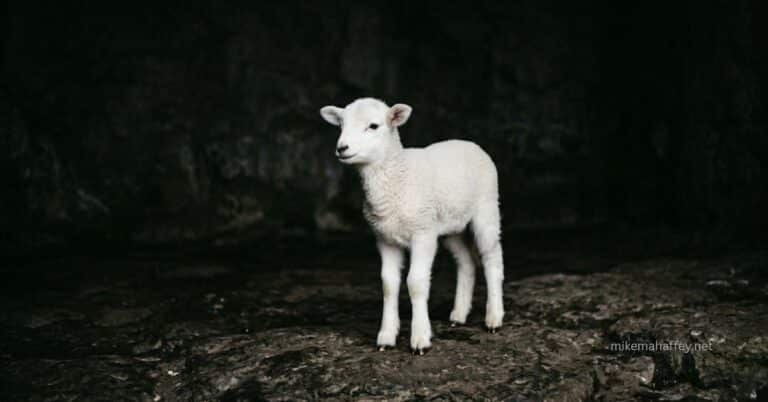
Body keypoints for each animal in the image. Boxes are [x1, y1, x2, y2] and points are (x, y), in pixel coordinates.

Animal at [320, 98, 505, 354]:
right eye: (341, 125)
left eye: (374, 126)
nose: (342, 148)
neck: (397, 176)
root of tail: (470, 144)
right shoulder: (385, 238)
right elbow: (388, 284)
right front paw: (386, 336)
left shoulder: (422, 233)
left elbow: (415, 283)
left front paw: (420, 338)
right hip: (449, 226)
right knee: (466, 262)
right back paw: (459, 315)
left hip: (486, 208)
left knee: (491, 258)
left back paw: (494, 318)